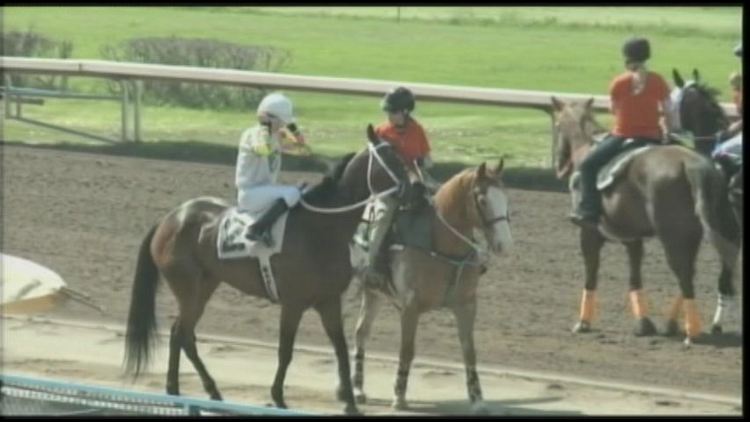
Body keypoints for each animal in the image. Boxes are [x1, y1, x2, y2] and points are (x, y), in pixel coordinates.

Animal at [122, 125, 412, 416]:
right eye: (392, 159)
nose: (415, 188)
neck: (321, 228)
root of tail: (169, 218)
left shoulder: (329, 301)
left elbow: (340, 349)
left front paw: (350, 404)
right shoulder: (293, 303)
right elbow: (286, 351)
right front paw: (278, 397)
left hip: (205, 285)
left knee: (180, 334)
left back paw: (195, 390)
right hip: (188, 288)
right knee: (182, 333)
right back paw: (191, 389)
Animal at [350, 160, 516, 414]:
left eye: (505, 197)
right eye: (482, 199)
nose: (505, 245)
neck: (440, 243)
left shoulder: (467, 304)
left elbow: (469, 352)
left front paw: (477, 399)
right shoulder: (410, 306)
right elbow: (407, 350)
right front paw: (399, 395)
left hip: (373, 293)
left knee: (361, 333)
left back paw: (358, 388)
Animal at [548, 97, 744, 344]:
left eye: (557, 126)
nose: (559, 168)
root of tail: (692, 165)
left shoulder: (588, 233)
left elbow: (591, 274)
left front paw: (583, 323)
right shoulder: (633, 239)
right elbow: (635, 277)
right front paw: (643, 323)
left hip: (674, 237)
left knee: (685, 274)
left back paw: (691, 331)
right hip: (704, 233)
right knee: (699, 272)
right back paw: (682, 324)